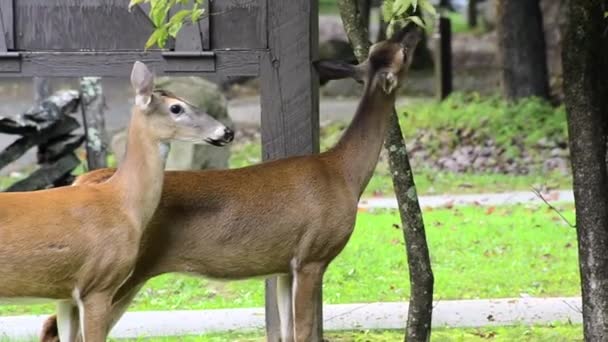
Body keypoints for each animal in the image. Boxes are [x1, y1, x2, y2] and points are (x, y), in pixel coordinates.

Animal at [40, 26, 420, 342]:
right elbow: (304, 331)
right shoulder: (313, 255)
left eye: (382, 47)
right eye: (403, 51)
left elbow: (286, 332)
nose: (411, 28)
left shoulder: (286, 265)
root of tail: (88, 179)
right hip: (120, 274)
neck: (343, 173)